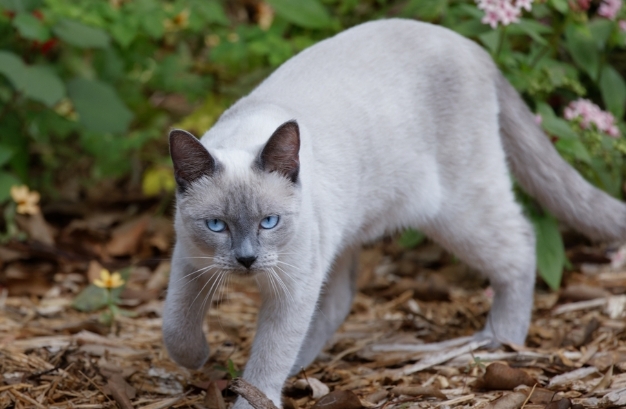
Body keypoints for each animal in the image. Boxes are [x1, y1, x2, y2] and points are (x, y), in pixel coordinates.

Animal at [161, 17, 624, 406]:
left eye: (268, 222)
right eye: (216, 225)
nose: (246, 260)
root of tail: (472, 46)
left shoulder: (291, 287)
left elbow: (267, 360)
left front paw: (248, 393)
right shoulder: (190, 265)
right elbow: (175, 330)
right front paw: (201, 358)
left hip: (455, 211)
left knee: (522, 243)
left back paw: (500, 342)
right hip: (344, 234)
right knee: (338, 301)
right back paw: (303, 365)